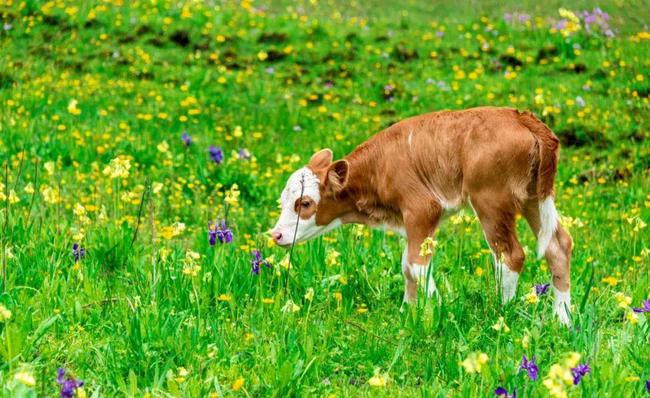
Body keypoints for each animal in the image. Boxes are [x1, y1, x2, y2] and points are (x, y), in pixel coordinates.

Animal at [268, 105, 572, 324]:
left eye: (305, 203)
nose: (276, 235)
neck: (379, 168)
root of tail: (520, 117)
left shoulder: (422, 208)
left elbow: (415, 265)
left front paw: (436, 310)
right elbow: (406, 264)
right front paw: (408, 311)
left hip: (491, 200)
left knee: (510, 255)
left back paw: (501, 313)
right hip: (533, 198)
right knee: (558, 246)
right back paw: (563, 319)